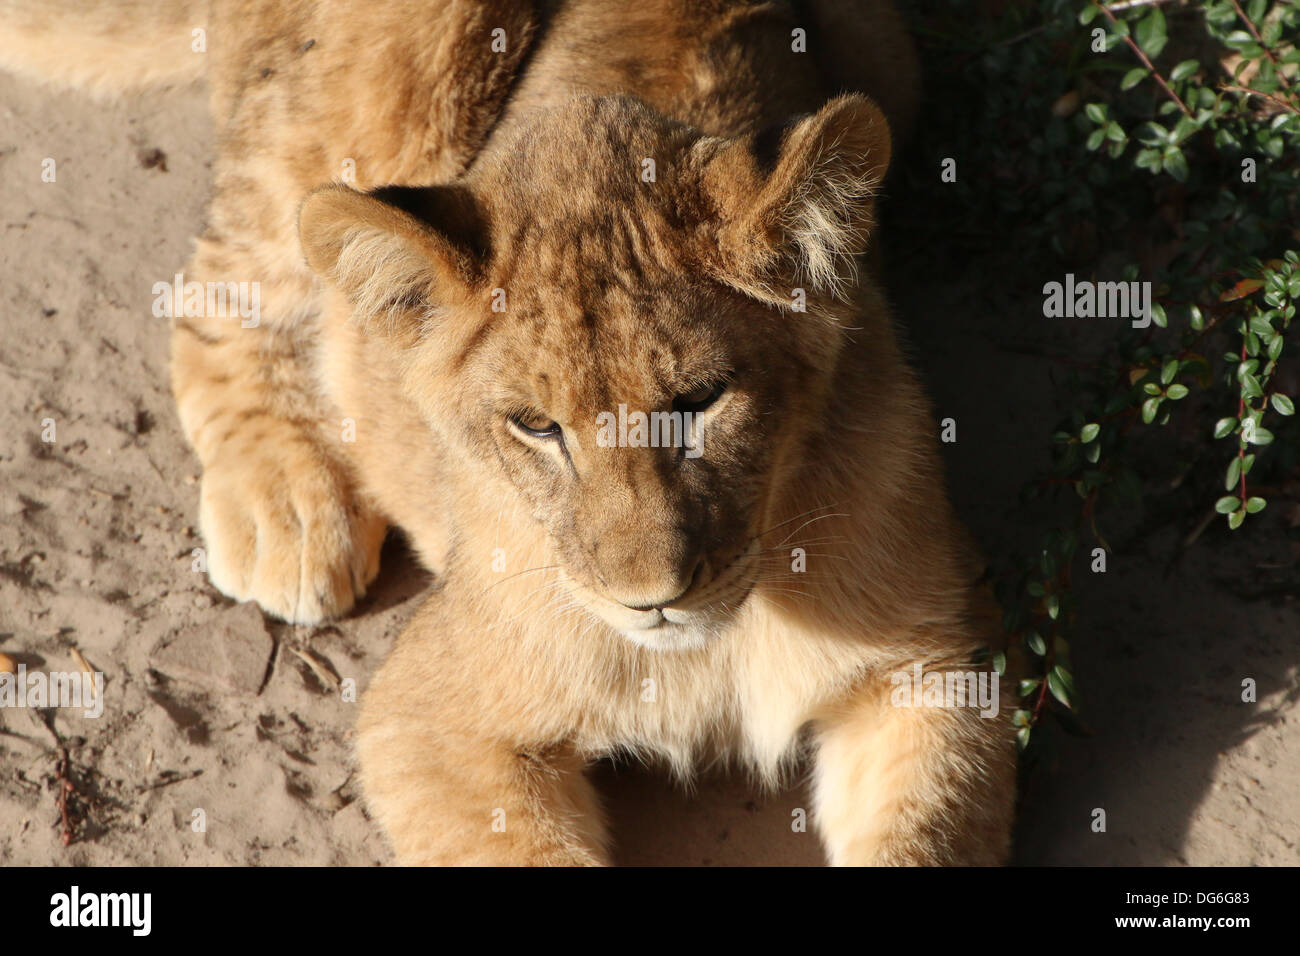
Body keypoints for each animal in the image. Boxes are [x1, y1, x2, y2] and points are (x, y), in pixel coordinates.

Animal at [1, 0, 1015, 865]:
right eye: (536, 426)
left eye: (701, 400)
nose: (653, 598)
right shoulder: (427, 715)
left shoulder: (938, 666)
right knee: (217, 286)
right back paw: (285, 507)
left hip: (890, 54)